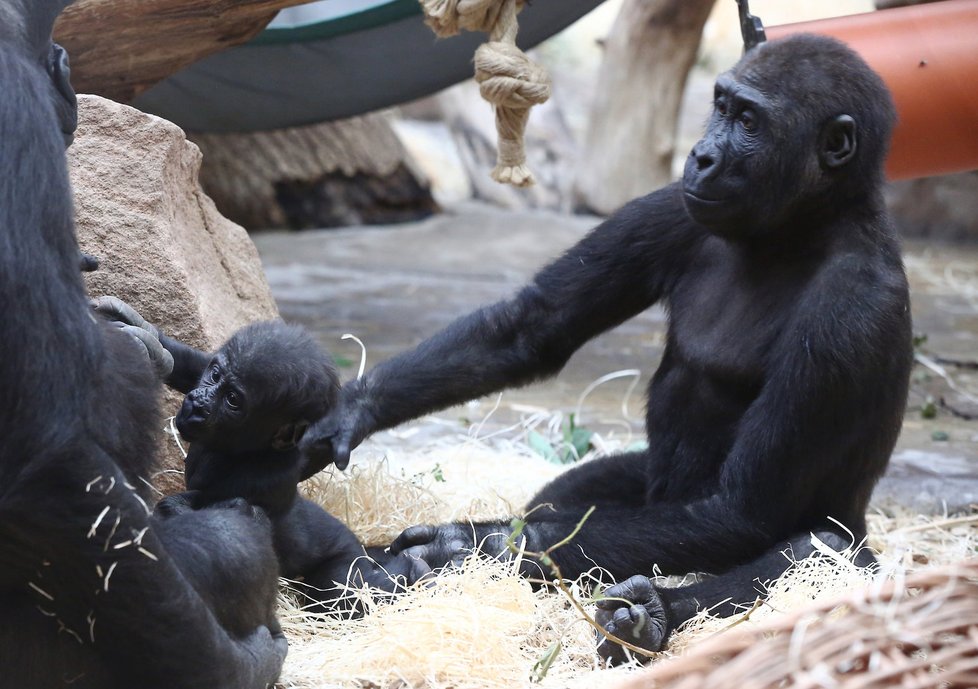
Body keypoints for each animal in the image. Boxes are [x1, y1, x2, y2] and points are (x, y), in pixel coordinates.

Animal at [98, 298, 428, 612]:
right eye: (215, 375)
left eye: (232, 400)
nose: (198, 404)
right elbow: (194, 364)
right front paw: (147, 335)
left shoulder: (255, 479)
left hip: (345, 557)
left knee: (344, 590)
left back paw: (416, 572)